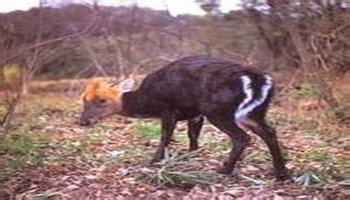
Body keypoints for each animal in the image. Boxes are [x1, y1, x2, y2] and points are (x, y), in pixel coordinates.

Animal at [80, 55, 290, 180]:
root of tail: (259, 80)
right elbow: (193, 135)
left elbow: (165, 136)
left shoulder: (168, 109)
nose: (83, 121)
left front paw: (154, 161)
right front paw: (192, 154)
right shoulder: (195, 113)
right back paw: (281, 173)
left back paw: (224, 170)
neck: (147, 100)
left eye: (102, 100)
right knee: (269, 131)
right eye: (83, 99)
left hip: (218, 110)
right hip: (253, 112)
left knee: (242, 137)